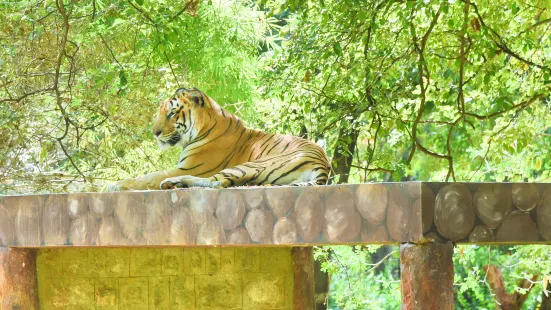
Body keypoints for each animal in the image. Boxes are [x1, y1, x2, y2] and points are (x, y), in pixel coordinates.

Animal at [110, 87, 330, 191]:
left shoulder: (189, 167)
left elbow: (148, 177)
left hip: (254, 164)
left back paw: (173, 182)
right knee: (223, 182)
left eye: (172, 113)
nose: (154, 132)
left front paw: (115, 184)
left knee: (218, 182)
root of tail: (323, 165)